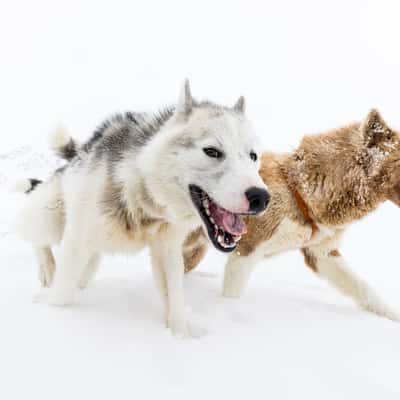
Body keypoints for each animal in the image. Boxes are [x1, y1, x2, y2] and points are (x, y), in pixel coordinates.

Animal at [16, 81, 272, 338]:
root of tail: (76, 154)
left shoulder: (167, 250)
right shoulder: (76, 243)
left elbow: (175, 302)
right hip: (50, 220)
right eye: (212, 151)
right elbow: (61, 297)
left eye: (253, 156)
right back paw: (48, 269)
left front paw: (181, 335)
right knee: (35, 236)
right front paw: (57, 317)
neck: (144, 198)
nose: (261, 197)